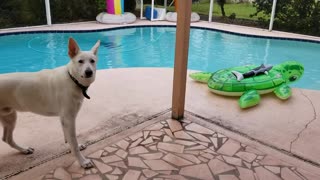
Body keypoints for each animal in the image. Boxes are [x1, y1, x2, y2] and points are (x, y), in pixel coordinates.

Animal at [0, 38, 100, 169]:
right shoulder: (68, 119)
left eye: (92, 61)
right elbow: (73, 142)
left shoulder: (65, 119)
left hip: (10, 117)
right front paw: (82, 161)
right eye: (80, 61)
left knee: (7, 139)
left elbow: (69, 139)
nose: (89, 72)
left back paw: (24, 150)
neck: (72, 78)